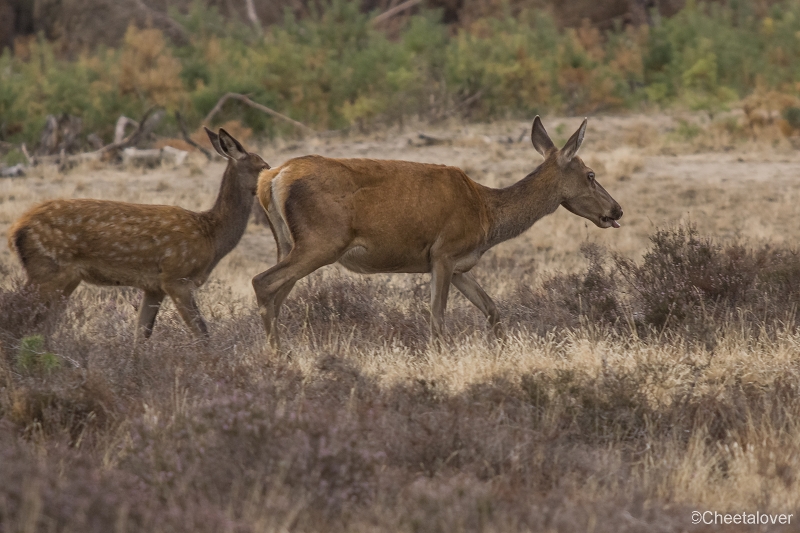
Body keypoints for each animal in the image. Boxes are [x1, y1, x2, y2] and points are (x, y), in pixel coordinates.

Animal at [7, 130, 268, 340]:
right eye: (263, 166)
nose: (272, 174)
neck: (211, 237)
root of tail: (16, 229)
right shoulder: (177, 277)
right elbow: (201, 332)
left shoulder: (153, 286)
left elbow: (141, 334)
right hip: (47, 268)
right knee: (18, 318)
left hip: (65, 277)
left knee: (43, 325)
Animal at [253, 116, 620, 350]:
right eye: (590, 174)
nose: (616, 210)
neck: (487, 216)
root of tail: (271, 177)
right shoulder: (444, 252)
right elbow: (437, 315)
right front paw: (439, 356)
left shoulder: (459, 265)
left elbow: (492, 308)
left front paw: (502, 351)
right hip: (322, 240)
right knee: (262, 281)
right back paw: (276, 354)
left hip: (287, 241)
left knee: (277, 292)